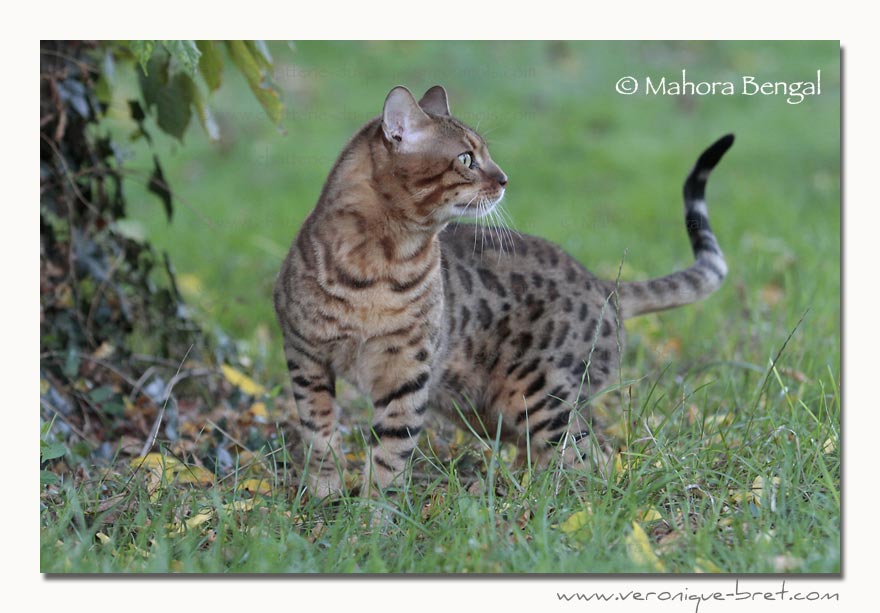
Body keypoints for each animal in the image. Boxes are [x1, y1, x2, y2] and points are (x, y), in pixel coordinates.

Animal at [272, 85, 732, 498]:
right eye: (466, 158)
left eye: (485, 155)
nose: (505, 179)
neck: (380, 264)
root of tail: (603, 284)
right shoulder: (304, 354)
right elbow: (318, 433)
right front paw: (325, 495)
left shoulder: (407, 371)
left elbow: (390, 452)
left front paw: (373, 519)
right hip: (489, 410)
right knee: (562, 455)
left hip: (540, 395)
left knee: (591, 459)